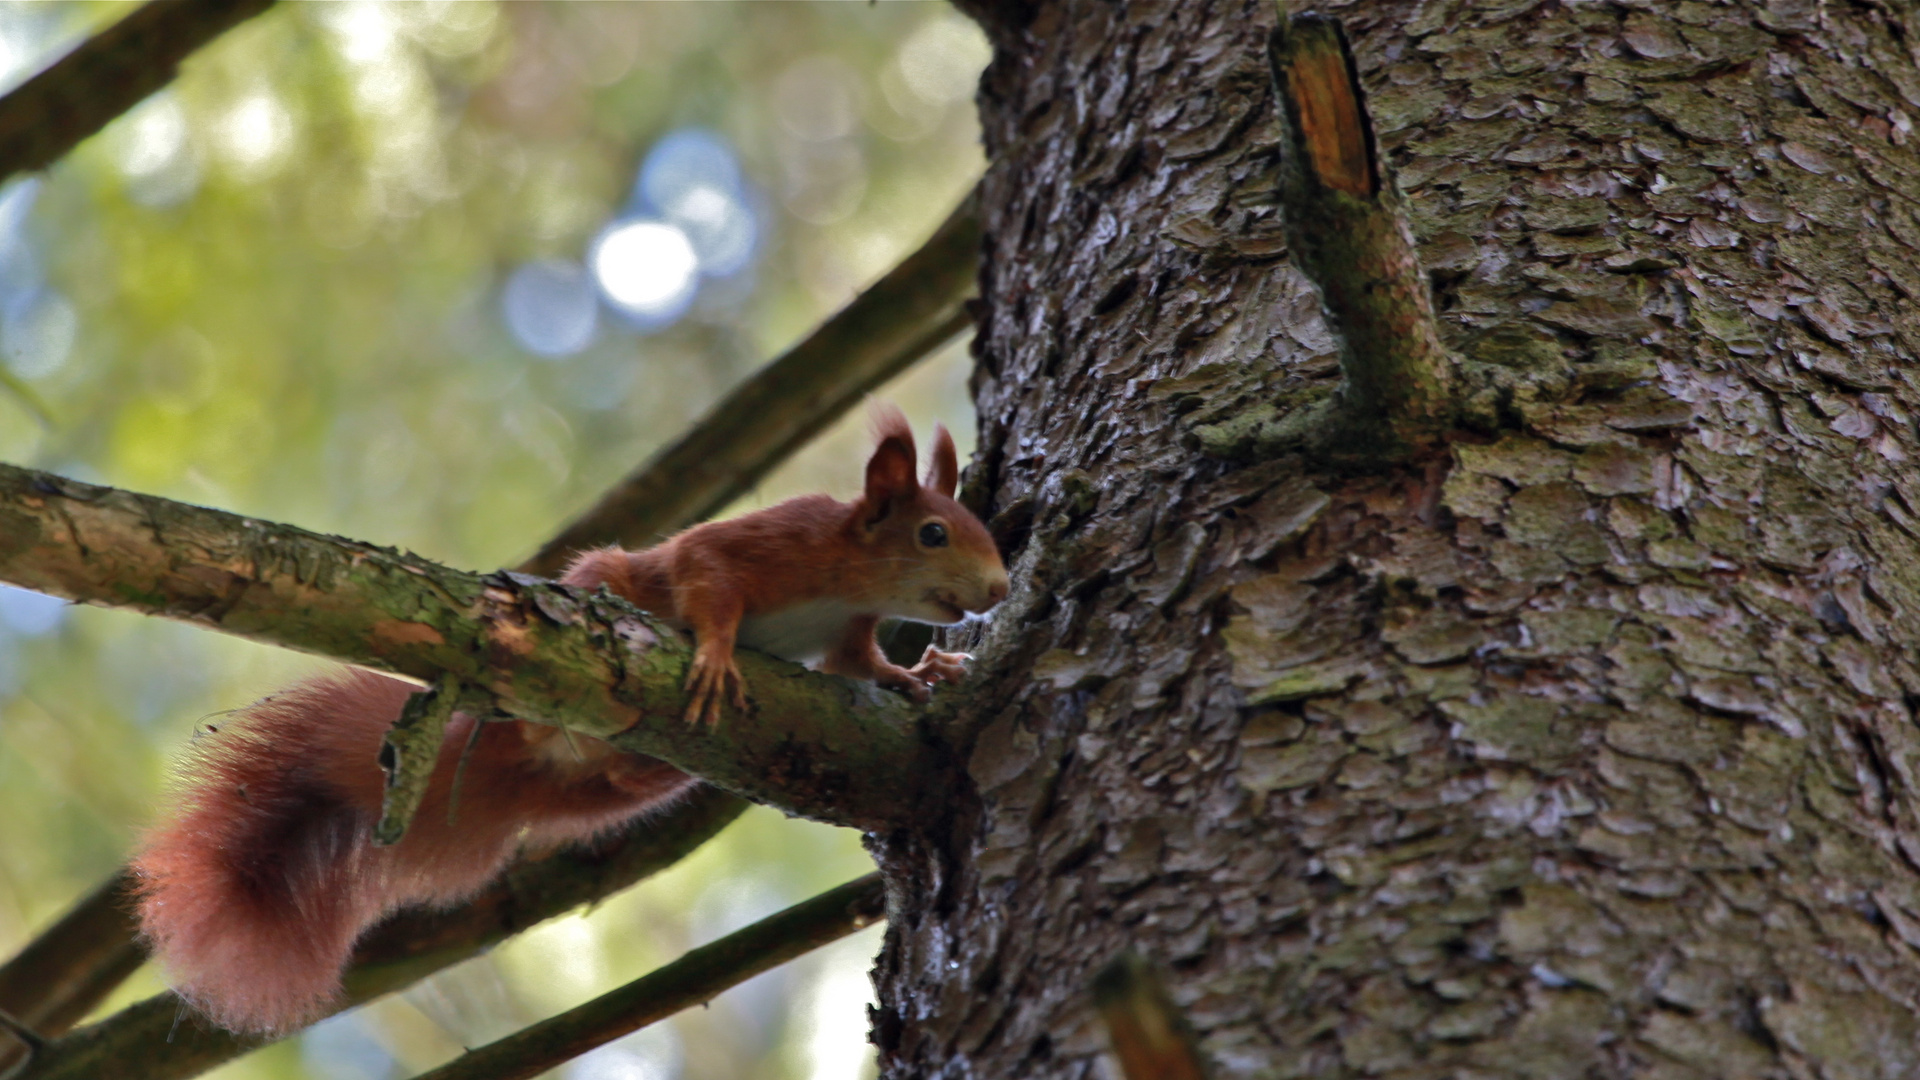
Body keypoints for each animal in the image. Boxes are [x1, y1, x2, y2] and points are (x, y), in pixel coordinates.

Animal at [133, 407, 1006, 1030]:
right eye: (933, 532)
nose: (999, 588)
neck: (848, 572)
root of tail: (528, 753)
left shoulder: (851, 628)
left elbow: (865, 669)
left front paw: (923, 673)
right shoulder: (758, 546)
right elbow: (704, 580)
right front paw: (718, 653)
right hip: (598, 589)